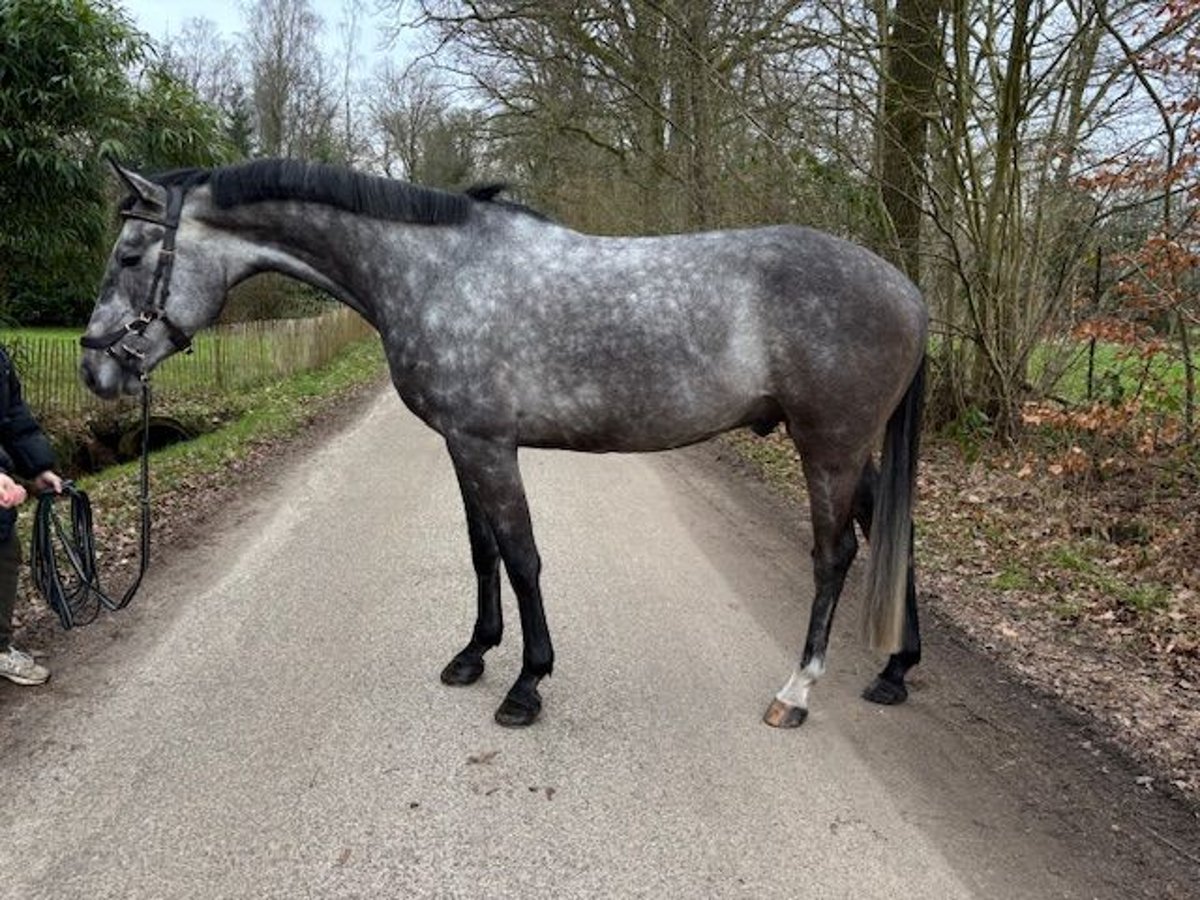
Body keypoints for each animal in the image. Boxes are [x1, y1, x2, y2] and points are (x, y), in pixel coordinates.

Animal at [79, 158, 926, 729]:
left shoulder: (488, 446)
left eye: (128, 255)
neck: (438, 273)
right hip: (852, 449)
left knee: (836, 555)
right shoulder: (462, 444)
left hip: (829, 445)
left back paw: (797, 691)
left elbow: (522, 557)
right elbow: (482, 550)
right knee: (891, 533)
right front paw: (474, 654)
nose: (93, 367)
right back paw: (894, 669)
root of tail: (908, 289)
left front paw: (527, 684)